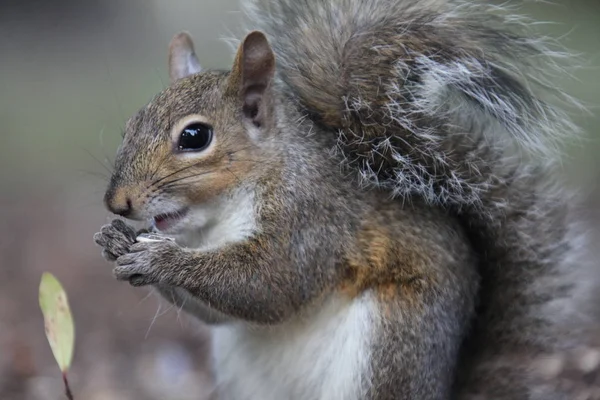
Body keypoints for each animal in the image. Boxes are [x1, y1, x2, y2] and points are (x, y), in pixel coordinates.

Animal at [94, 0, 596, 398]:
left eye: (195, 136)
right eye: (130, 125)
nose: (118, 203)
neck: (218, 220)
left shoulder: (311, 216)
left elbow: (271, 285)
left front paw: (160, 260)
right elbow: (220, 312)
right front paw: (117, 242)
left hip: (391, 342)